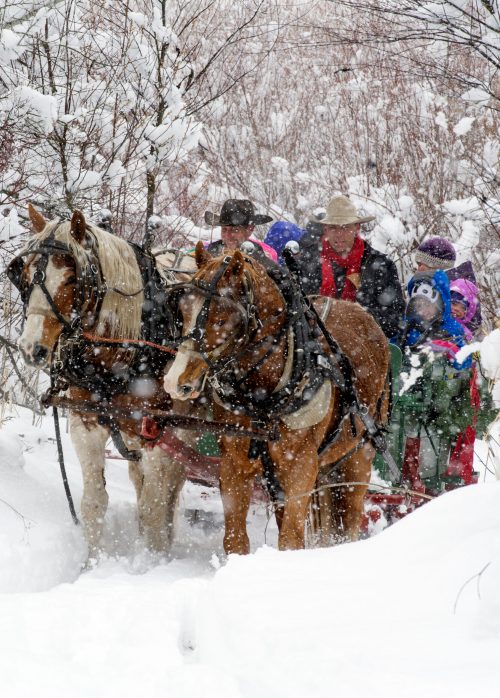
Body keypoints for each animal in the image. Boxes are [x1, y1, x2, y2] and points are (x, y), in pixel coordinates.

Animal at [7, 204, 196, 558]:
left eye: (72, 277)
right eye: (23, 274)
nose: (30, 348)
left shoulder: (159, 436)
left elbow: (154, 506)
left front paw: (155, 559)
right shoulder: (86, 425)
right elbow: (94, 503)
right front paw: (92, 562)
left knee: (170, 487)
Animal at [163, 242, 390, 554]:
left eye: (220, 319)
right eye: (183, 312)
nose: (175, 382)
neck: (264, 395)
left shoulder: (300, 468)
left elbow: (291, 540)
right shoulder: (235, 464)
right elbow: (235, 538)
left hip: (357, 460)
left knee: (349, 522)